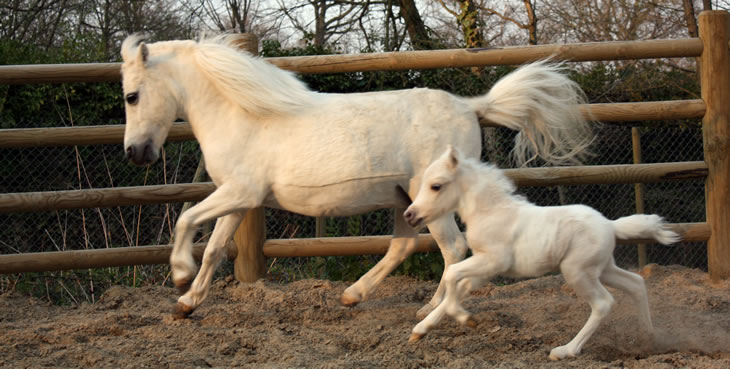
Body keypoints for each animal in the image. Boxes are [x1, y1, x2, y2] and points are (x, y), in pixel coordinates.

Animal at [119, 33, 596, 316]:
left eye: (131, 96)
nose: (136, 154)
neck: (243, 115)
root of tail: (469, 106)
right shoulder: (239, 199)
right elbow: (216, 248)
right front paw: (186, 303)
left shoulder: (239, 192)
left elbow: (185, 221)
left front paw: (179, 274)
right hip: (406, 201)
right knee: (404, 246)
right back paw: (354, 294)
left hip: (434, 202)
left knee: (454, 250)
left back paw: (428, 310)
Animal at [400, 147, 680, 360]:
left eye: (436, 186)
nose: (410, 215)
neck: (490, 211)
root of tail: (610, 225)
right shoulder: (485, 269)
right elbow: (458, 287)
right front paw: (420, 330)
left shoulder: (493, 260)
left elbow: (452, 276)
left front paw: (466, 318)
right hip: (603, 268)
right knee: (636, 283)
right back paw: (647, 339)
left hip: (577, 271)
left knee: (603, 303)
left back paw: (565, 350)